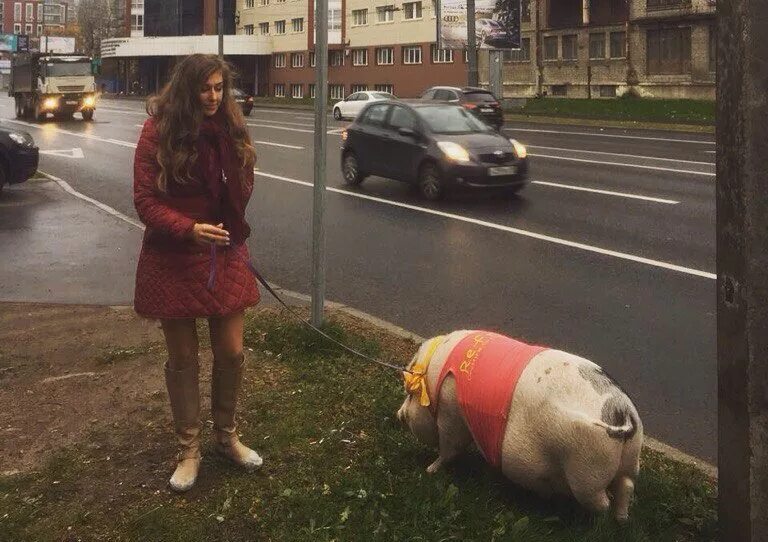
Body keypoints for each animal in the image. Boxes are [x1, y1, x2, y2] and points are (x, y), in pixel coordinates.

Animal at [396, 332, 640, 524]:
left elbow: (449, 449)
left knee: (602, 503)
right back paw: (621, 519)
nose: (399, 414)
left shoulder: (451, 415)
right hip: (627, 462)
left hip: (587, 474)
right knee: (626, 485)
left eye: (410, 394)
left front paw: (429, 470)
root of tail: (623, 413)